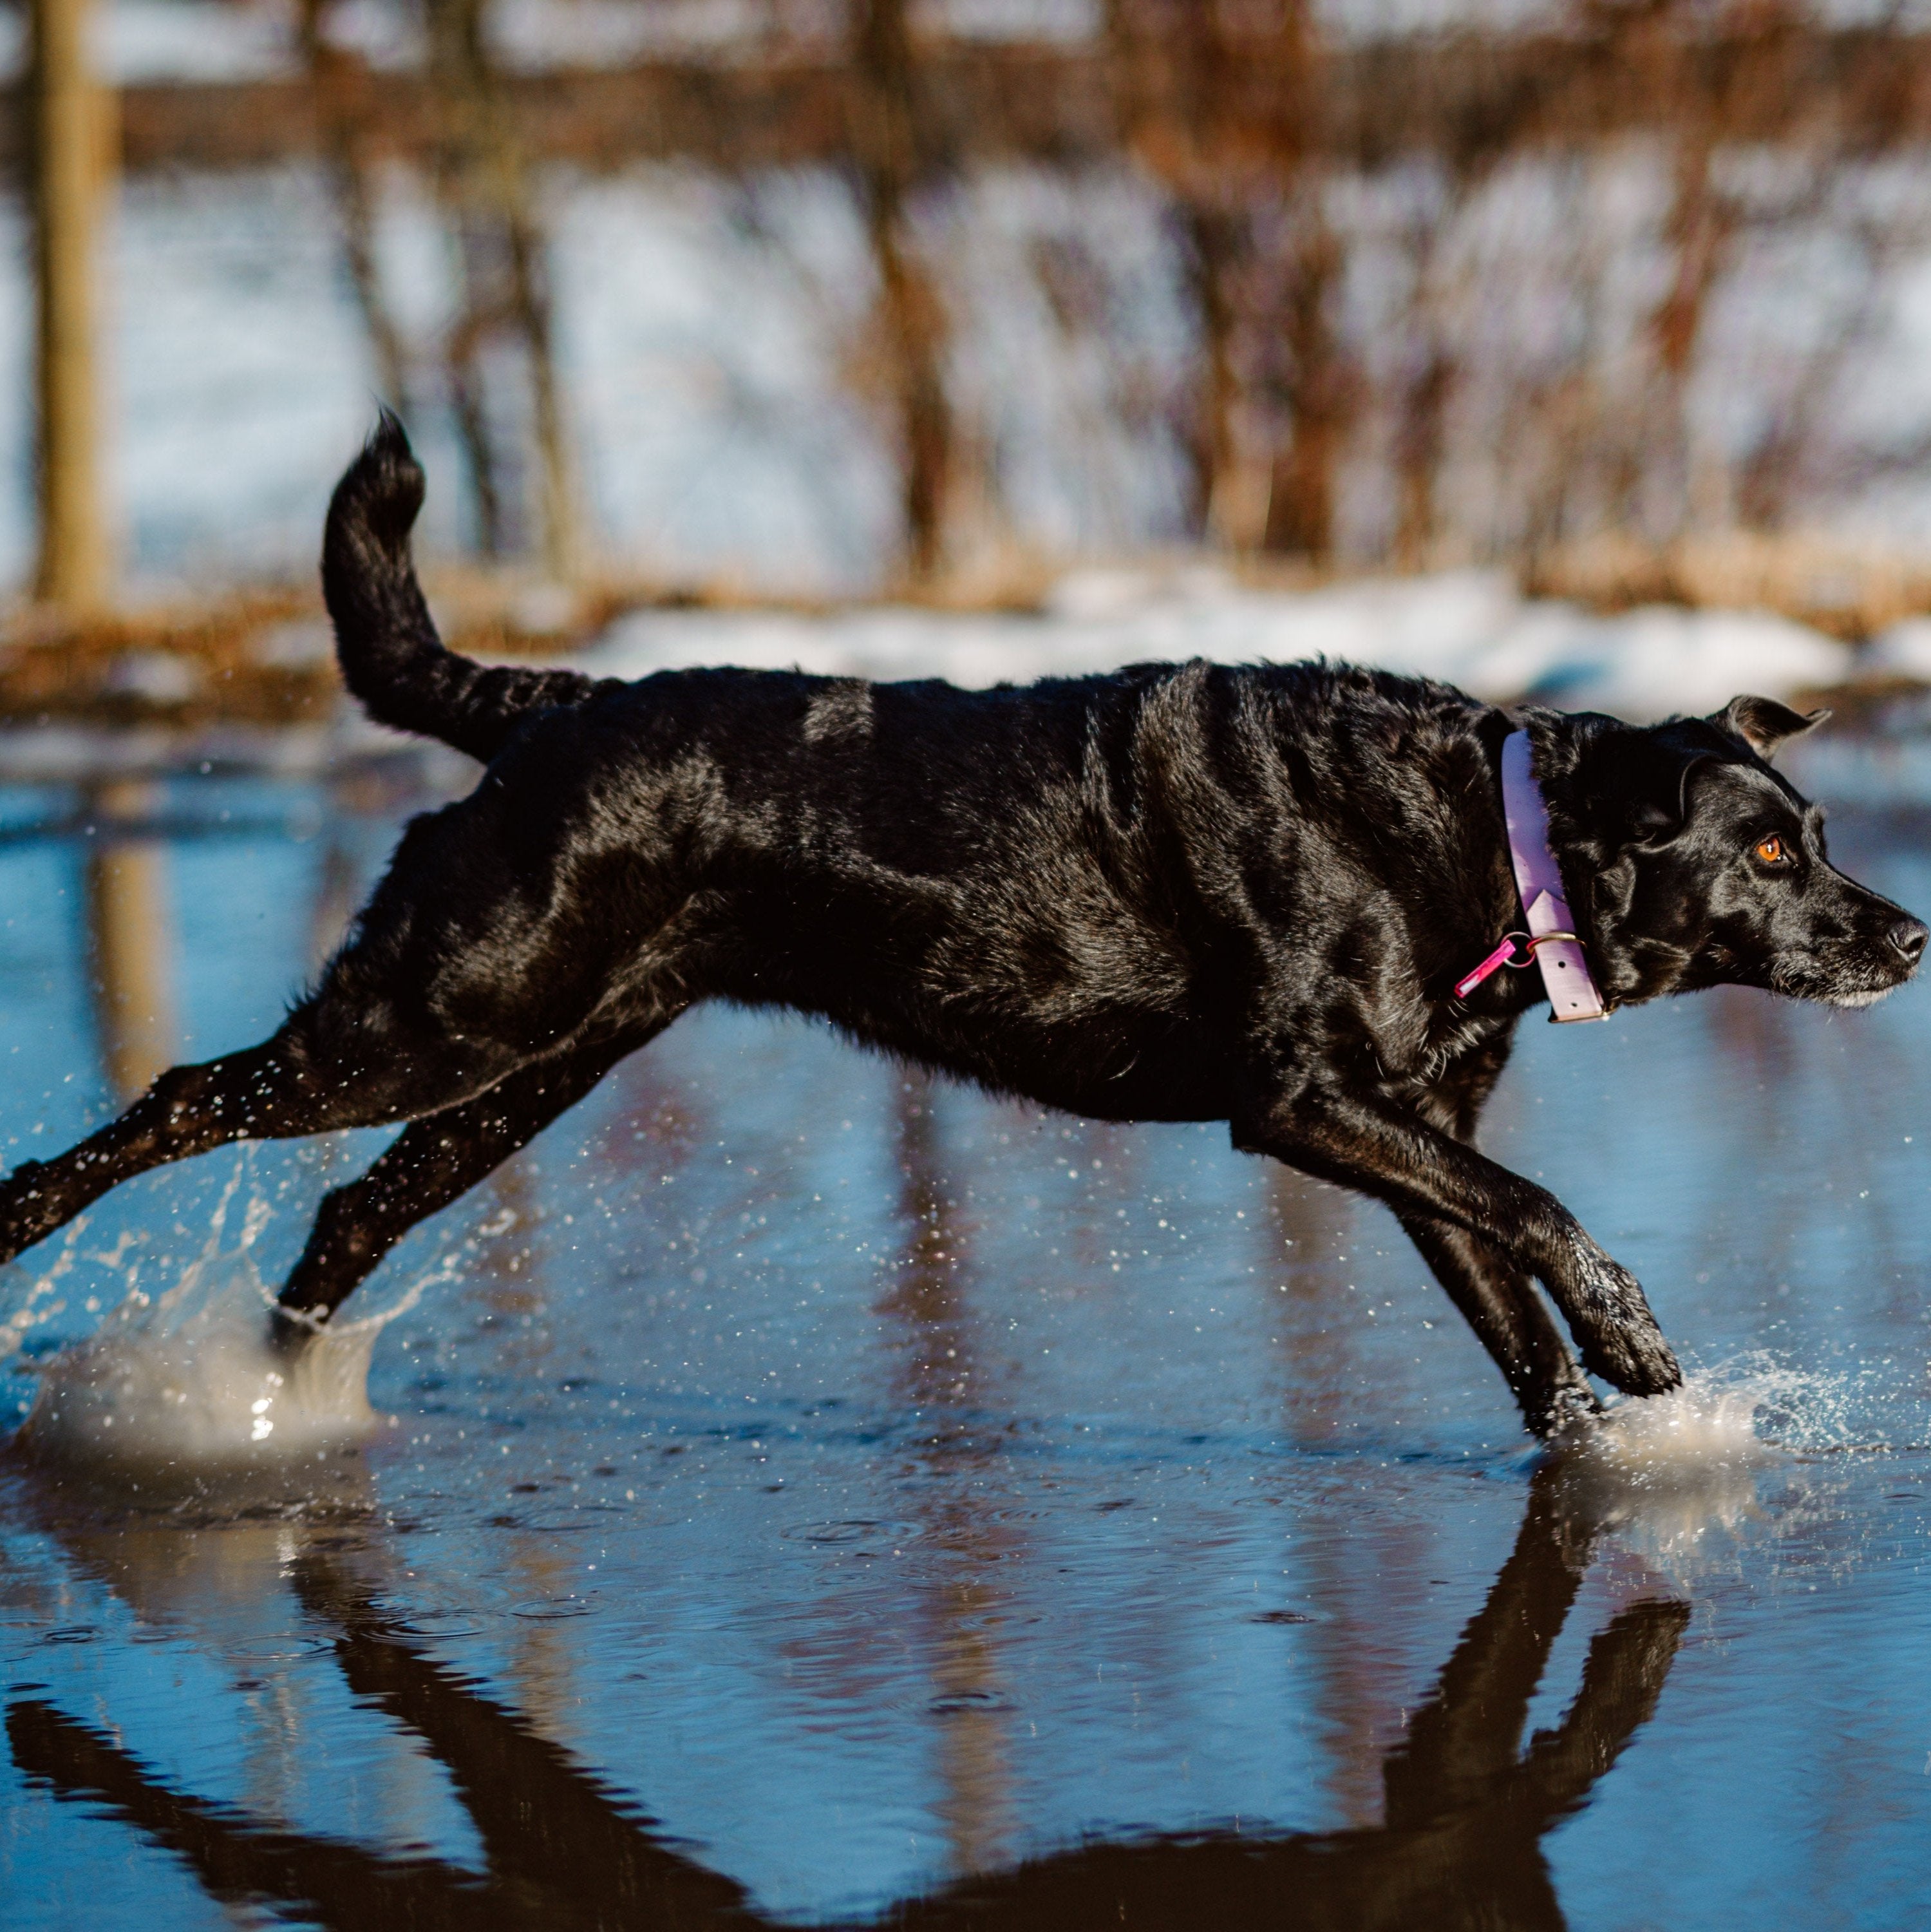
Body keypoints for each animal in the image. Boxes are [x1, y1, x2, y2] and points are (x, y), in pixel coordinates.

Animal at [7, 423, 1923, 1445]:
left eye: (1820, 832)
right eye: (1765, 848)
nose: (1905, 937)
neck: (1476, 840)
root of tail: (546, 708)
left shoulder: (1407, 1130)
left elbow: (1505, 1300)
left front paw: (1620, 1449)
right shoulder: (1304, 1103)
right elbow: (1543, 1216)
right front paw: (1639, 1344)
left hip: (540, 1054)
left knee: (351, 1207)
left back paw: (261, 1398)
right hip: (444, 1010)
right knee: (189, 1099)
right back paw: (36, 1230)